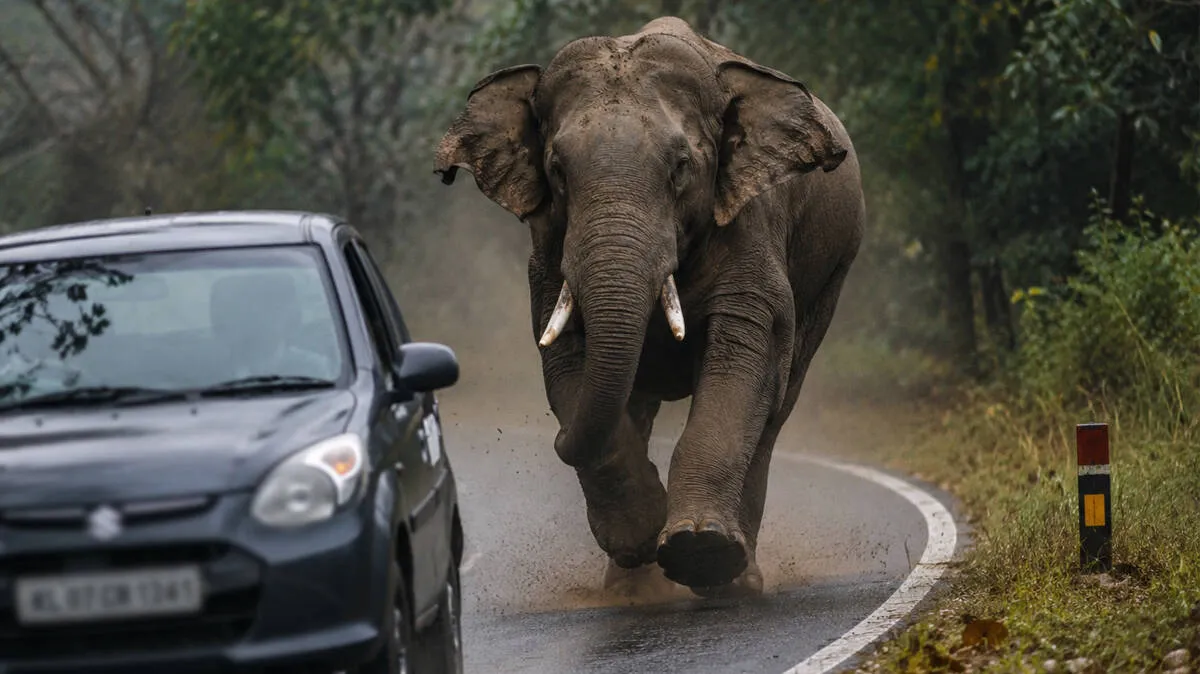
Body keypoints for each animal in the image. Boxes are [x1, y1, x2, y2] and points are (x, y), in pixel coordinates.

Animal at [434, 16, 865, 597]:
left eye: (681, 167)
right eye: (557, 170)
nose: (555, 440)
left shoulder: (751, 228)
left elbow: (746, 357)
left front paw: (699, 551)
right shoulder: (547, 250)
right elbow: (566, 363)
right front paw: (641, 537)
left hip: (832, 273)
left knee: (777, 407)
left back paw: (737, 578)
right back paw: (628, 588)